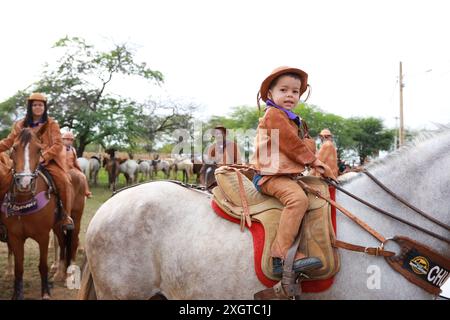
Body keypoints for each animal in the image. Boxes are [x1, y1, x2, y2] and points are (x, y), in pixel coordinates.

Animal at [0, 128, 74, 300]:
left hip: (61, 224)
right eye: (14, 148)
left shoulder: (43, 236)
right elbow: (19, 268)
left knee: (64, 242)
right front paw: (17, 294)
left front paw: (45, 292)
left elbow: (43, 266)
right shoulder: (15, 237)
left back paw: (61, 273)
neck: (25, 201)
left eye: (39, 149)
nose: (24, 182)